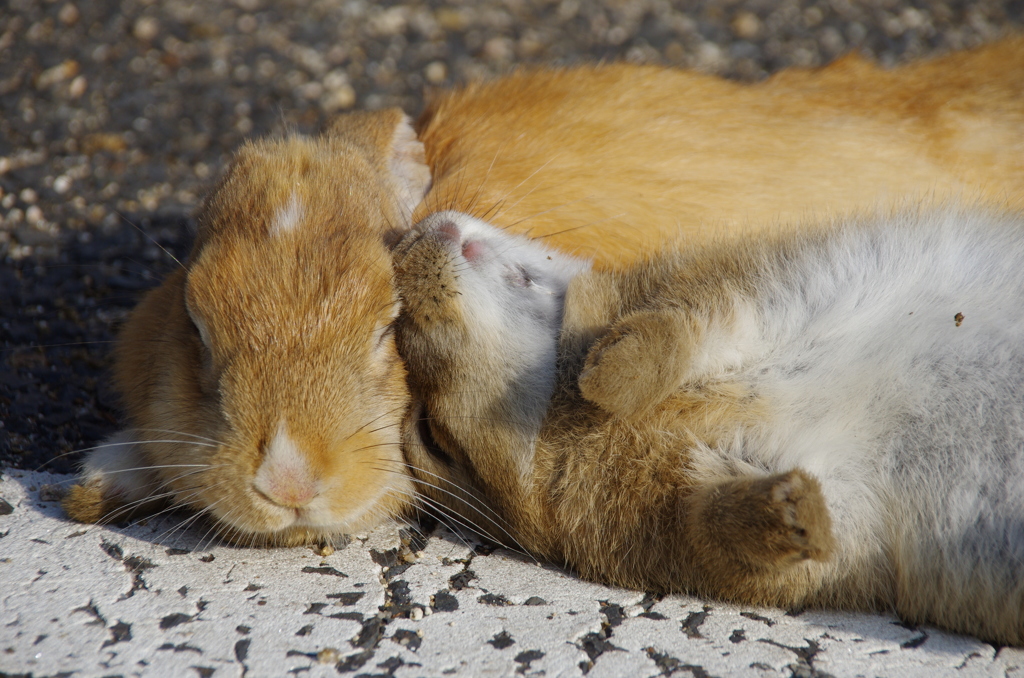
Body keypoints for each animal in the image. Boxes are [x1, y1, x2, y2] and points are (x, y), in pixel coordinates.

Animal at [393, 210, 1024, 647]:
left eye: (431, 435)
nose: (405, 247)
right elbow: (724, 522)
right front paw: (798, 513)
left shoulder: (735, 297)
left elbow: (670, 332)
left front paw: (604, 376)